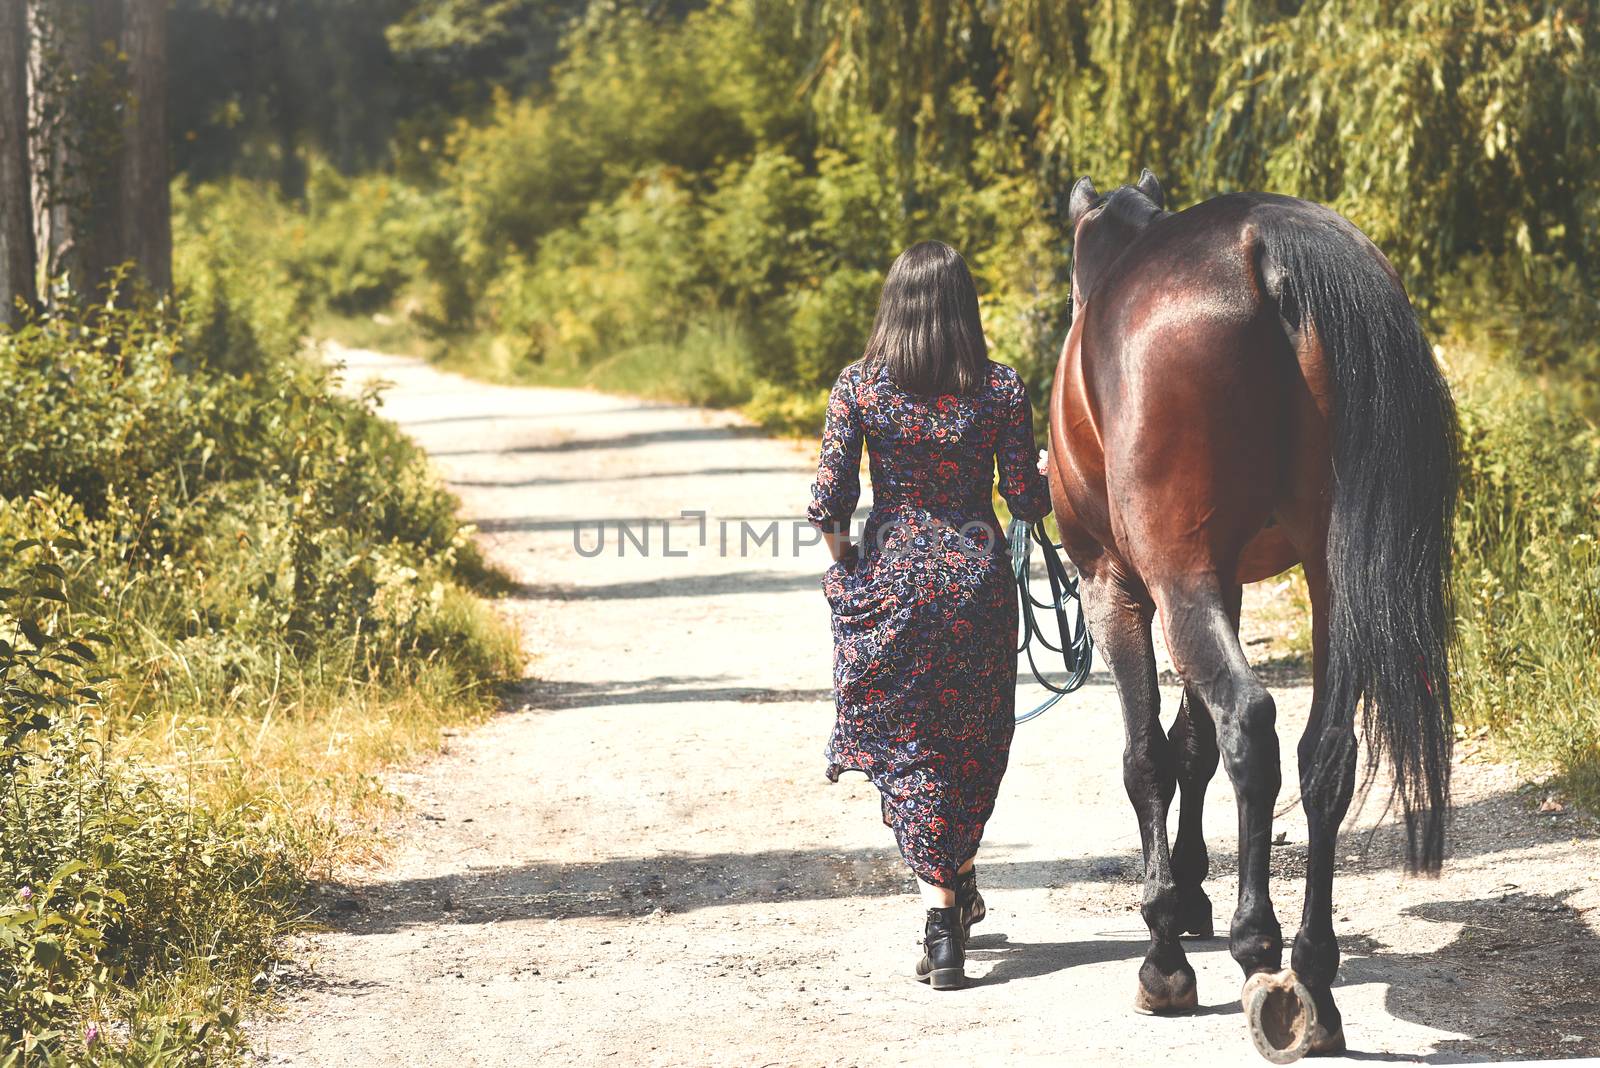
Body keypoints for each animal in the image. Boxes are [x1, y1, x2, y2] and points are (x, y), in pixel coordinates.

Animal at [1049, 173, 1465, 1061]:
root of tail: (1267, 245)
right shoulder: (1229, 584)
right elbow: (1190, 747)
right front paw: (1190, 898)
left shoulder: (1118, 585)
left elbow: (1150, 755)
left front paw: (1166, 948)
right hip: (1332, 578)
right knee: (1325, 754)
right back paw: (1312, 975)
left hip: (1180, 580)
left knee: (1249, 724)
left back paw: (1258, 956)